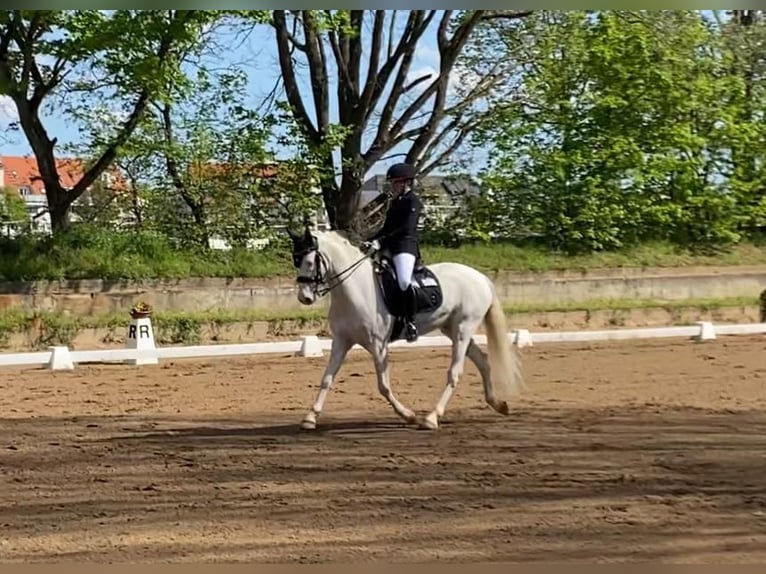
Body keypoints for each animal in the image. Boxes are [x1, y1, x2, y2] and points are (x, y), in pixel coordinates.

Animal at [288, 226, 528, 432]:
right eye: (296, 261)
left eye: (309, 261)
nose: (304, 298)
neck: (355, 289)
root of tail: (481, 277)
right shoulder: (341, 341)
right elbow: (327, 379)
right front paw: (310, 418)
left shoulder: (378, 345)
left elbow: (383, 385)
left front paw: (408, 415)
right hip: (452, 329)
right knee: (483, 361)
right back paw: (497, 404)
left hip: (463, 328)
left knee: (455, 372)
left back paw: (431, 418)